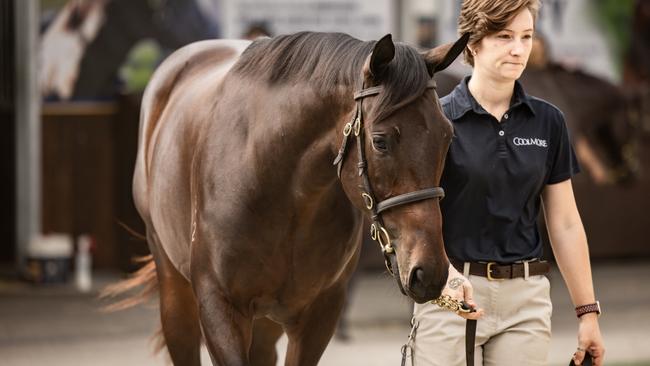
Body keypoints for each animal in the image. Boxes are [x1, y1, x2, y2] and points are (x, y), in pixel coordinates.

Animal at [111, 33, 466, 364]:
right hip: (174, 290)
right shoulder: (219, 307)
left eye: (447, 135)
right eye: (380, 141)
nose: (430, 271)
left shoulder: (319, 314)